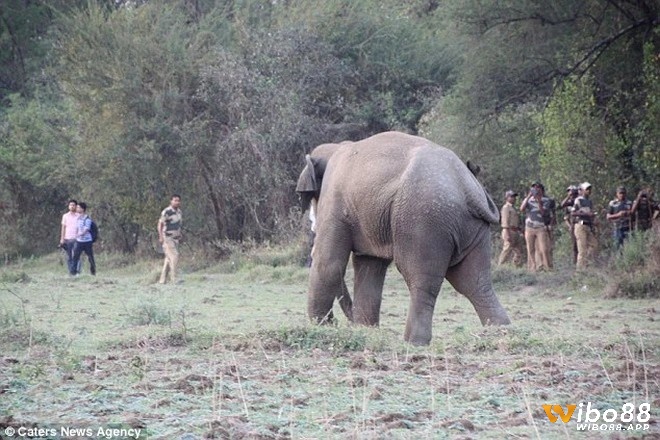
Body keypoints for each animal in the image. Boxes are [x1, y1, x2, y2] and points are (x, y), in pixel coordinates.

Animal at [296, 132, 512, 346]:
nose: (343, 322)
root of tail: (468, 187)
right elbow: (370, 265)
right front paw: (367, 331)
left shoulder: (335, 201)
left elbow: (329, 262)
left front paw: (323, 328)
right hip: (471, 228)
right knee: (473, 281)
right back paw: (500, 331)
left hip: (422, 221)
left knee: (420, 278)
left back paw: (414, 342)